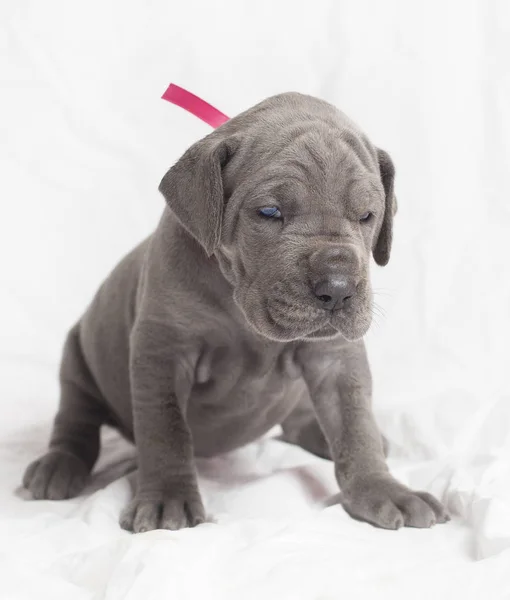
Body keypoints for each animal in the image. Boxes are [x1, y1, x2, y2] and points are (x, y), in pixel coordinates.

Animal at [22, 91, 450, 532]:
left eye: (366, 215)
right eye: (269, 212)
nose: (338, 288)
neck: (239, 308)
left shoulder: (334, 357)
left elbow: (355, 425)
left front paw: (383, 489)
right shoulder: (163, 350)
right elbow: (165, 430)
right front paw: (166, 499)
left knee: (301, 419)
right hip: (78, 357)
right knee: (76, 417)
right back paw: (58, 466)